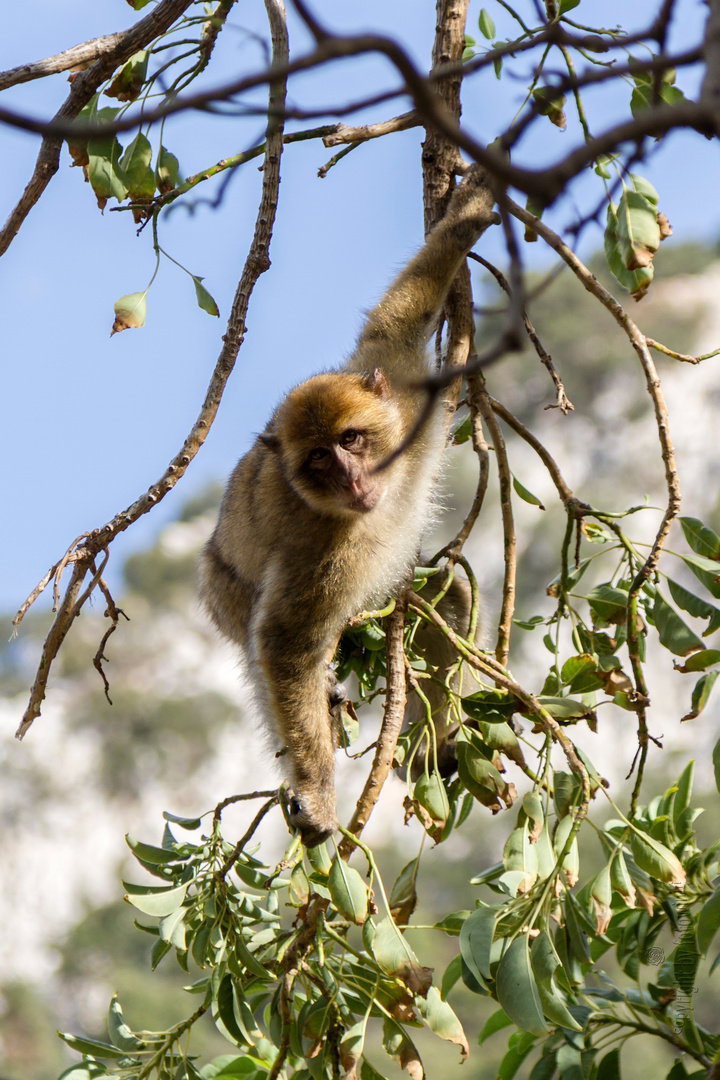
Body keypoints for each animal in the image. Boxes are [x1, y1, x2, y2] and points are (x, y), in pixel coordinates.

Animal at [199, 164, 498, 846]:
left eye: (352, 439)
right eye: (317, 460)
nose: (350, 478)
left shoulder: (403, 390)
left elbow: (399, 318)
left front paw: (468, 213)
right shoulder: (320, 551)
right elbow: (284, 641)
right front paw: (316, 790)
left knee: (446, 596)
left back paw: (436, 743)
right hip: (222, 588)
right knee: (258, 639)